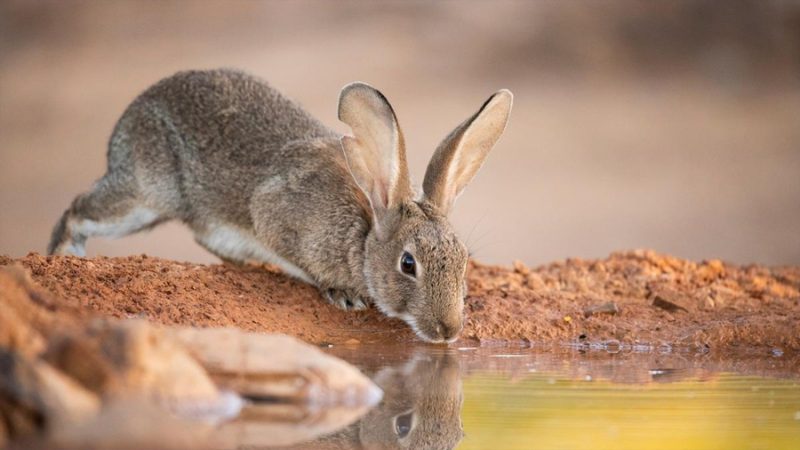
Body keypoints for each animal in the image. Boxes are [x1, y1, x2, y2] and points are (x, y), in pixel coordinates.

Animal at [47, 69, 513, 343]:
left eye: (464, 260)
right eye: (408, 264)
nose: (448, 329)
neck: (363, 235)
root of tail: (133, 111)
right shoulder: (273, 213)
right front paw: (344, 295)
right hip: (145, 197)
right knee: (77, 212)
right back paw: (62, 258)